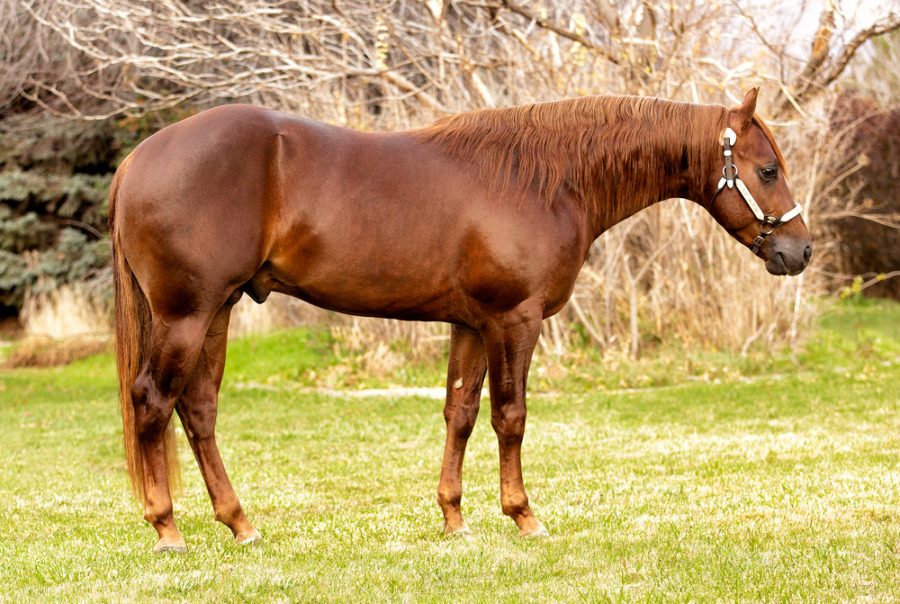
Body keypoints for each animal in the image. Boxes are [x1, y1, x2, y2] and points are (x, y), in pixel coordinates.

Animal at [109, 87, 812, 553]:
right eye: (767, 168)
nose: (799, 251)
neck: (546, 180)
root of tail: (139, 158)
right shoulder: (513, 321)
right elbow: (510, 417)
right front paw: (523, 515)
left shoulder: (471, 326)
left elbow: (460, 414)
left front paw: (453, 518)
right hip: (186, 314)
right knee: (152, 401)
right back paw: (166, 528)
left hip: (216, 311)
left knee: (198, 409)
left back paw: (240, 523)